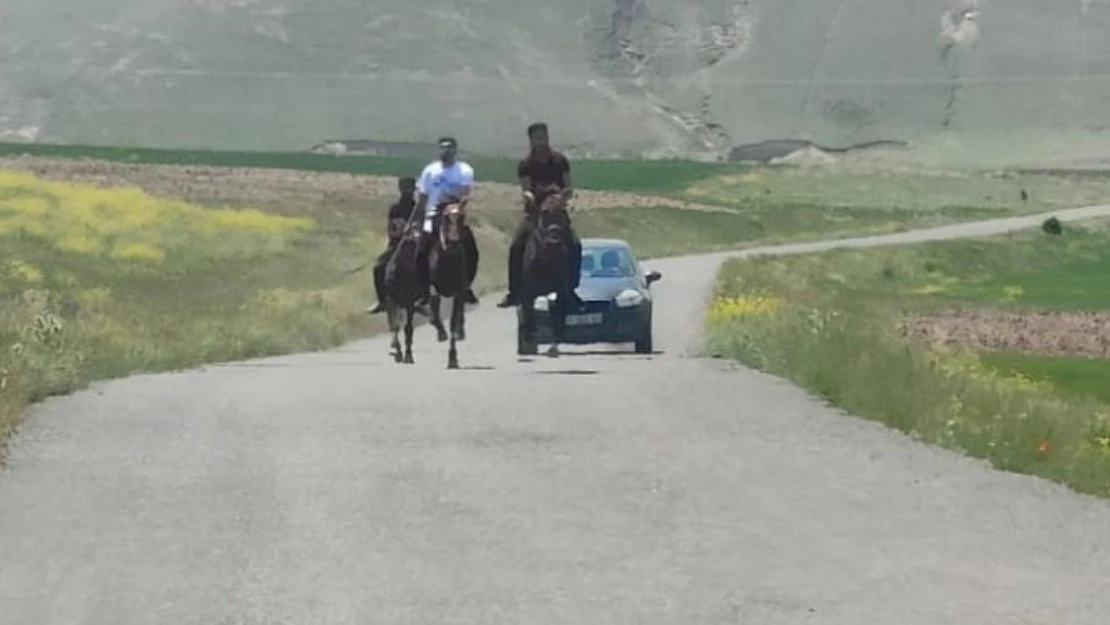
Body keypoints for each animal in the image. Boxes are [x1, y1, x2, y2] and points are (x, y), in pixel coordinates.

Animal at [381, 215, 424, 364]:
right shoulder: (396, 301)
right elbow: (399, 325)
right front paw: (403, 353)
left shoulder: (405, 302)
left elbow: (403, 326)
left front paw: (404, 354)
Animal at [426, 200, 475, 368]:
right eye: (446, 217)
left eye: (462, 216)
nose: (454, 242)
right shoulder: (433, 288)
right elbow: (434, 305)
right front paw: (441, 333)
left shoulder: (458, 292)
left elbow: (453, 321)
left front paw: (452, 358)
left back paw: (461, 331)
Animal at [517, 185, 577, 357]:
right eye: (544, 211)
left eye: (563, 211)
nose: (554, 239)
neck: (547, 260)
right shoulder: (527, 293)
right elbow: (528, 315)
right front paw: (529, 339)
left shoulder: (560, 291)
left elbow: (558, 319)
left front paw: (554, 347)